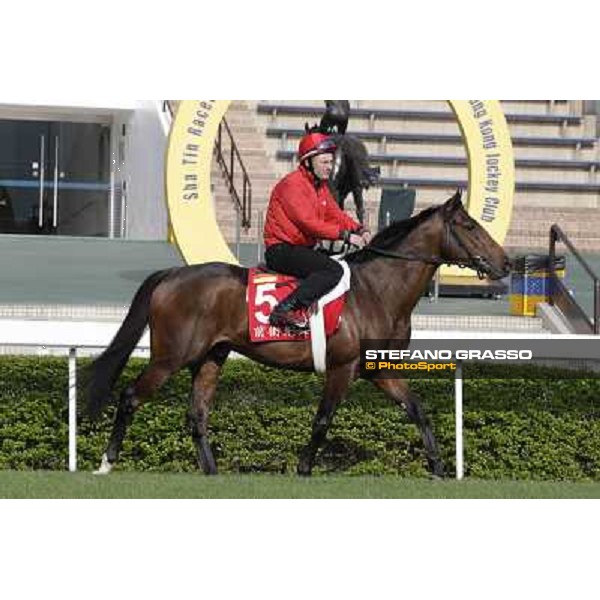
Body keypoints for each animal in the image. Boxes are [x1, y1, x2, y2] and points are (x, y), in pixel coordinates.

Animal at [85, 192, 510, 478]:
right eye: (470, 226)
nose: (506, 263)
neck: (377, 291)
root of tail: (171, 274)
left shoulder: (379, 370)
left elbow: (418, 410)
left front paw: (438, 467)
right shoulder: (343, 368)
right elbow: (322, 419)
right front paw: (304, 468)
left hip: (210, 357)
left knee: (197, 415)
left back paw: (213, 474)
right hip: (170, 357)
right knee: (129, 397)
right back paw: (106, 463)